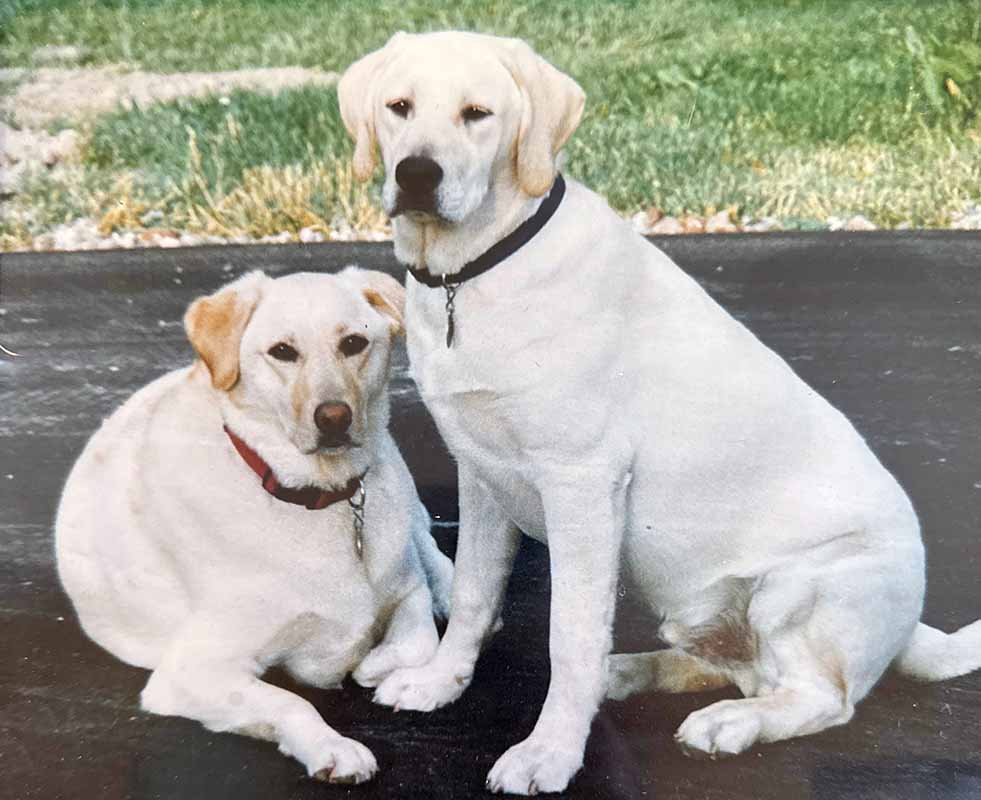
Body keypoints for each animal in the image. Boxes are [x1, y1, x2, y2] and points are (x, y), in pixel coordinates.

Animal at [55, 268, 454, 784]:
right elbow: (290, 702)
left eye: (353, 343)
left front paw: (376, 664)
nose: (334, 417)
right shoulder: (190, 672)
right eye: (282, 351)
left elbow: (419, 634)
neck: (318, 497)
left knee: (428, 545)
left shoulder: (406, 591)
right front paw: (333, 747)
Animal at [338, 31, 981, 795]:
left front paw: (549, 752)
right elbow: (470, 597)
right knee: (728, 668)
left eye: (477, 114)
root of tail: (911, 627)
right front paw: (439, 682)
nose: (415, 173)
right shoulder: (481, 476)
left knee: (819, 699)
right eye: (398, 107)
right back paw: (631, 674)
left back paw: (729, 724)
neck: (474, 269)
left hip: (798, 589)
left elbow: (570, 637)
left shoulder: (582, 485)